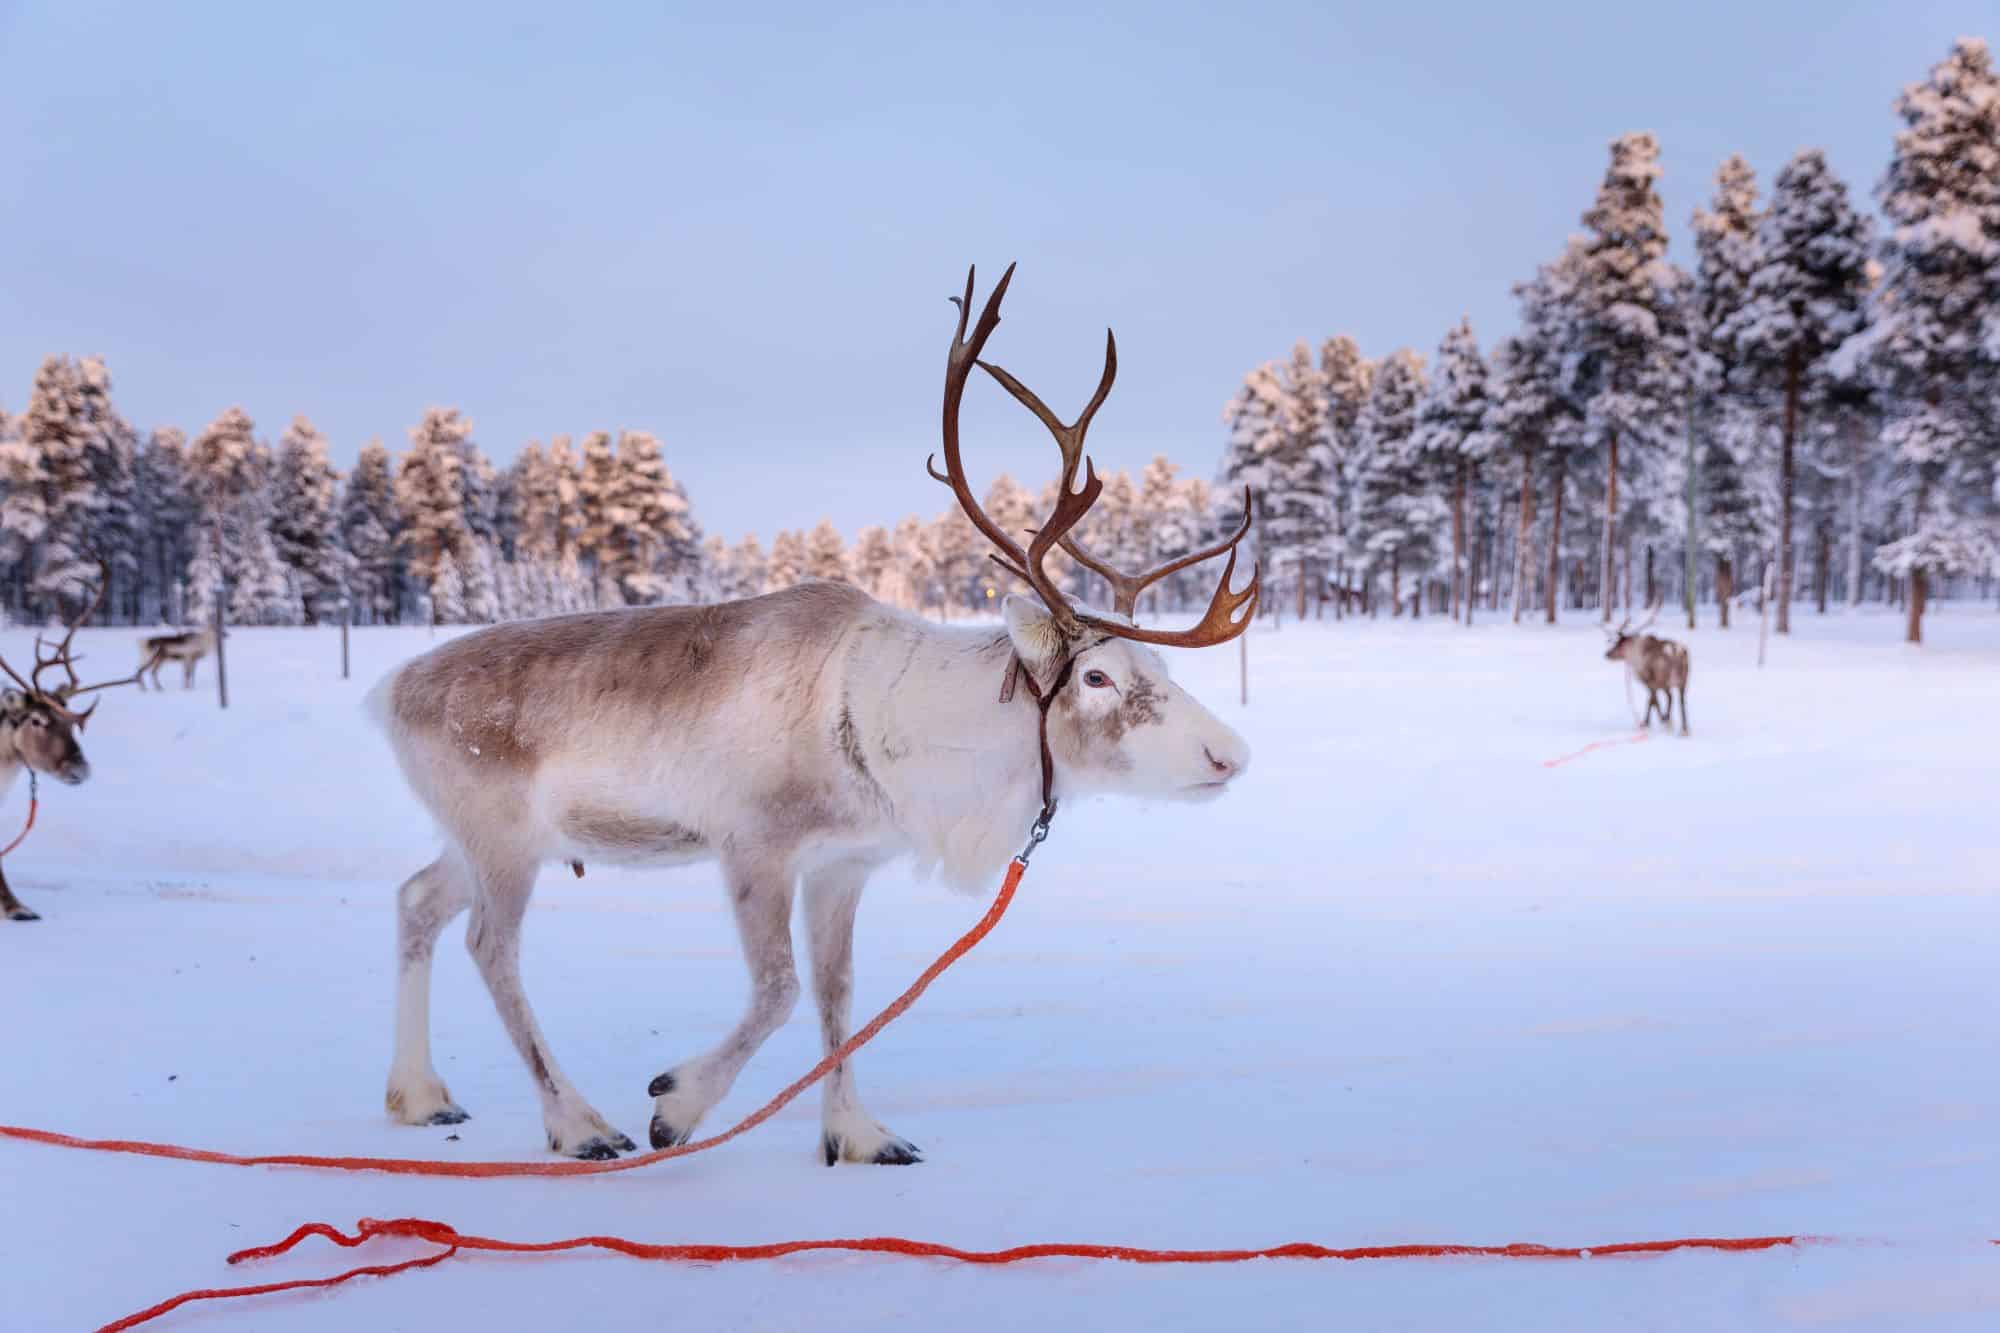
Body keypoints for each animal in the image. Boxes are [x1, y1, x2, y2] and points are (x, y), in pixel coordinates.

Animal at [367, 264, 1260, 1164]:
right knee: (489, 947)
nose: (1230, 755)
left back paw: (420, 1095)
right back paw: (579, 1122)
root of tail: (389, 691)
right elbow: (779, 989)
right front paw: (677, 1104)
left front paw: (857, 1134)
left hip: (481, 838)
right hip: (503, 838)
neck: (912, 742)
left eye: (1161, 667)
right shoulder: (754, 843)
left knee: (416, 900)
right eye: (1100, 677)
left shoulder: (843, 863)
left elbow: (839, 993)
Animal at [1604, 602, 1690, 736]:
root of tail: (1675, 650)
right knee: (1681, 700)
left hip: (1664, 679)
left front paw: (1647, 722)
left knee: (1670, 697)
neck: (1635, 656)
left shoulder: (1649, 680)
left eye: (1617, 644)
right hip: (1683, 680)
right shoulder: (1654, 684)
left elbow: (1652, 700)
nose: (1607, 654)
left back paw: (1667, 721)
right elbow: (1654, 700)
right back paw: (1684, 729)